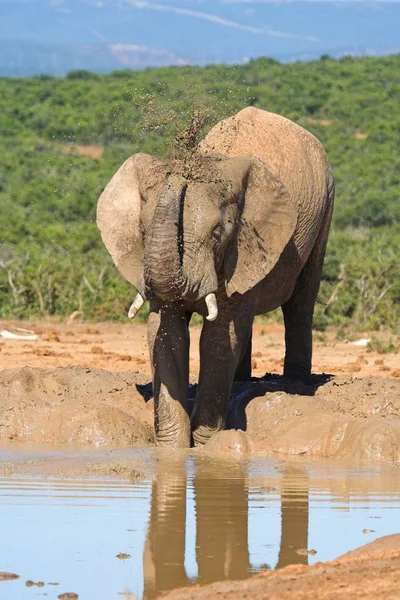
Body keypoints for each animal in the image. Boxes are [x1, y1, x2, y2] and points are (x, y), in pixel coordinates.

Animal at [97, 106, 334, 446]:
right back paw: (242, 382)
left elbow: (219, 337)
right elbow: (165, 333)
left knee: (300, 303)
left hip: (325, 208)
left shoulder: (244, 248)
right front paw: (173, 448)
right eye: (142, 231)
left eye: (218, 233)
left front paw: (207, 444)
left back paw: (295, 386)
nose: (181, 165)